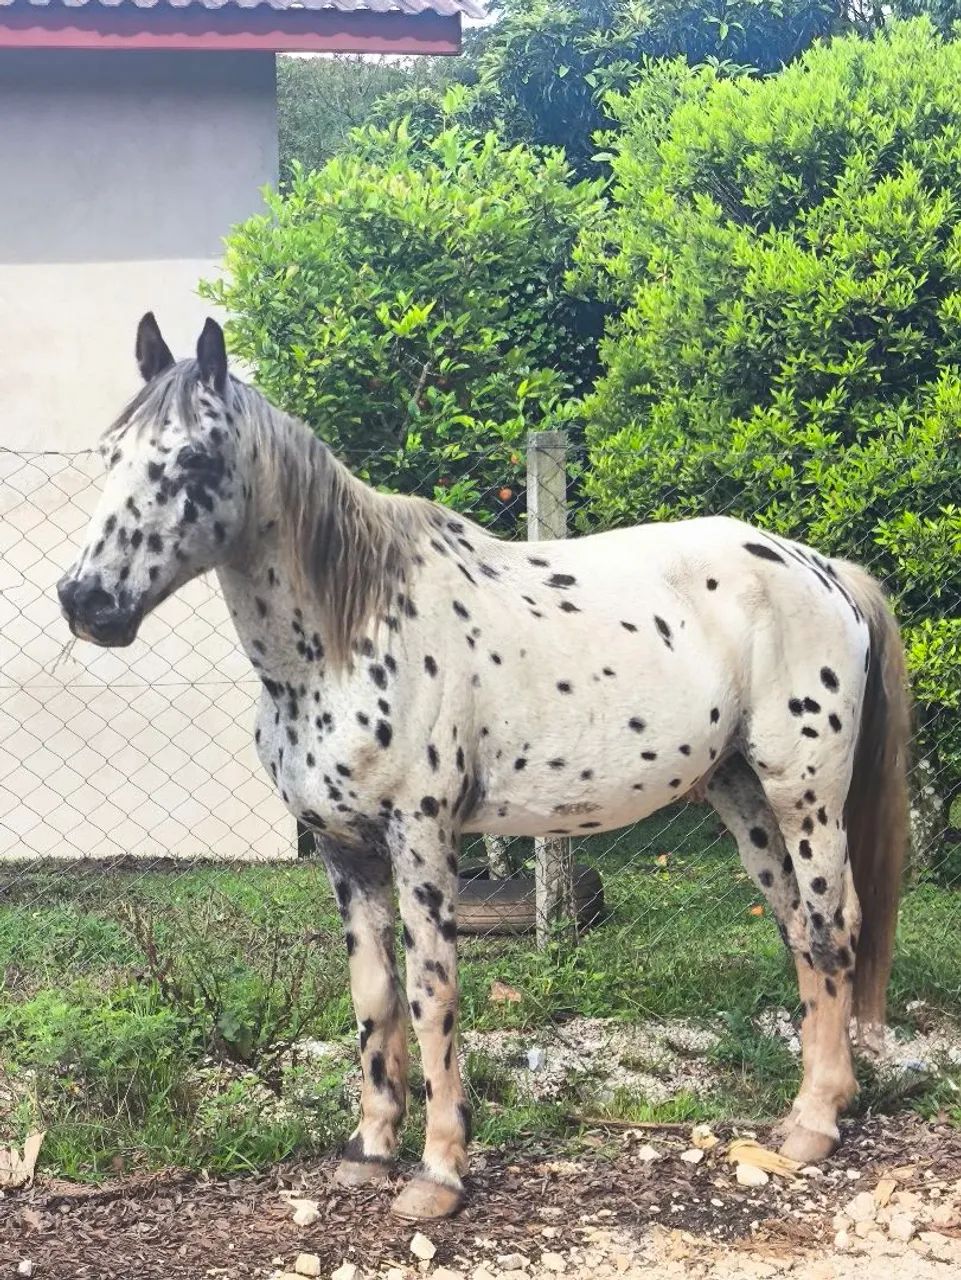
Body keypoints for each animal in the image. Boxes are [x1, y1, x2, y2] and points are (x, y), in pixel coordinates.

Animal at [57, 314, 910, 1220]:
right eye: (110, 452)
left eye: (191, 458)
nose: (85, 602)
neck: (345, 637)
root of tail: (823, 572)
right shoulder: (343, 851)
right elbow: (373, 997)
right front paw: (369, 1153)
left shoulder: (422, 839)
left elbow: (431, 995)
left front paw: (437, 1173)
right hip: (741, 793)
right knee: (797, 930)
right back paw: (808, 1110)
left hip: (804, 795)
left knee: (831, 929)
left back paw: (816, 1125)